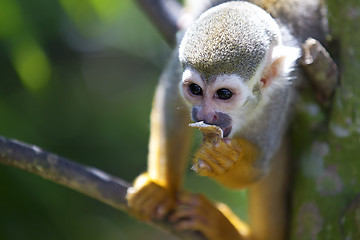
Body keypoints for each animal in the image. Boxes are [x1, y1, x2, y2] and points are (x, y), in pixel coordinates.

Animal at [126, 0, 326, 239]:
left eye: (224, 94)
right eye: (195, 89)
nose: (204, 115)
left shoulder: (280, 96)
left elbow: (258, 165)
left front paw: (221, 161)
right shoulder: (177, 67)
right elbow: (170, 110)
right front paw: (162, 189)